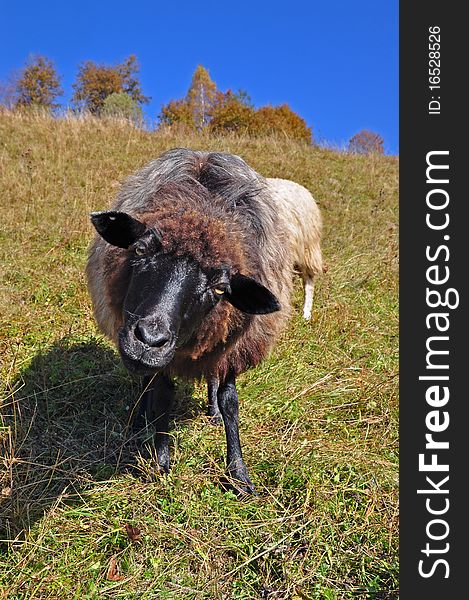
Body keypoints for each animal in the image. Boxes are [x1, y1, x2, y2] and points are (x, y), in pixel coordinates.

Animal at [86, 148, 292, 494]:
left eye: (220, 288)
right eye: (139, 249)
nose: (149, 341)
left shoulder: (232, 348)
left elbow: (230, 402)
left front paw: (238, 472)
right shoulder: (165, 360)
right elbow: (162, 396)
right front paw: (161, 462)